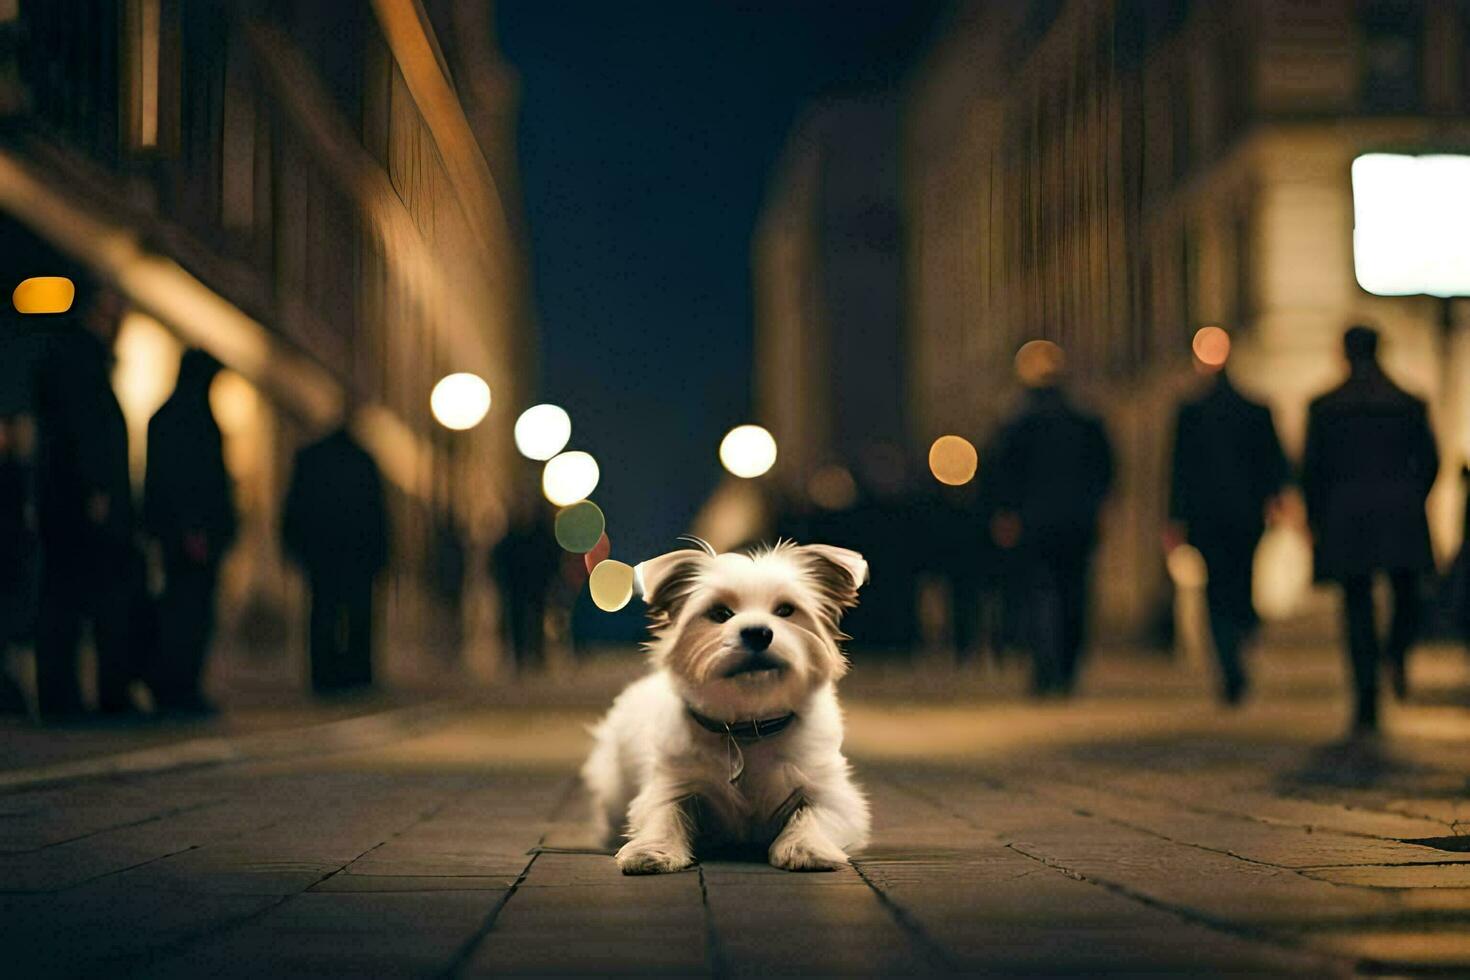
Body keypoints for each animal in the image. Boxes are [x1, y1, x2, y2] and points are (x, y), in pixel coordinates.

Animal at [579, 540, 864, 875]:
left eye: (785, 610)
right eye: (719, 613)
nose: (758, 632)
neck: (746, 727)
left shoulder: (831, 793)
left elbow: (815, 814)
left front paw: (806, 846)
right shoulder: (673, 782)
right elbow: (664, 813)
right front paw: (652, 849)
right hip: (614, 788)